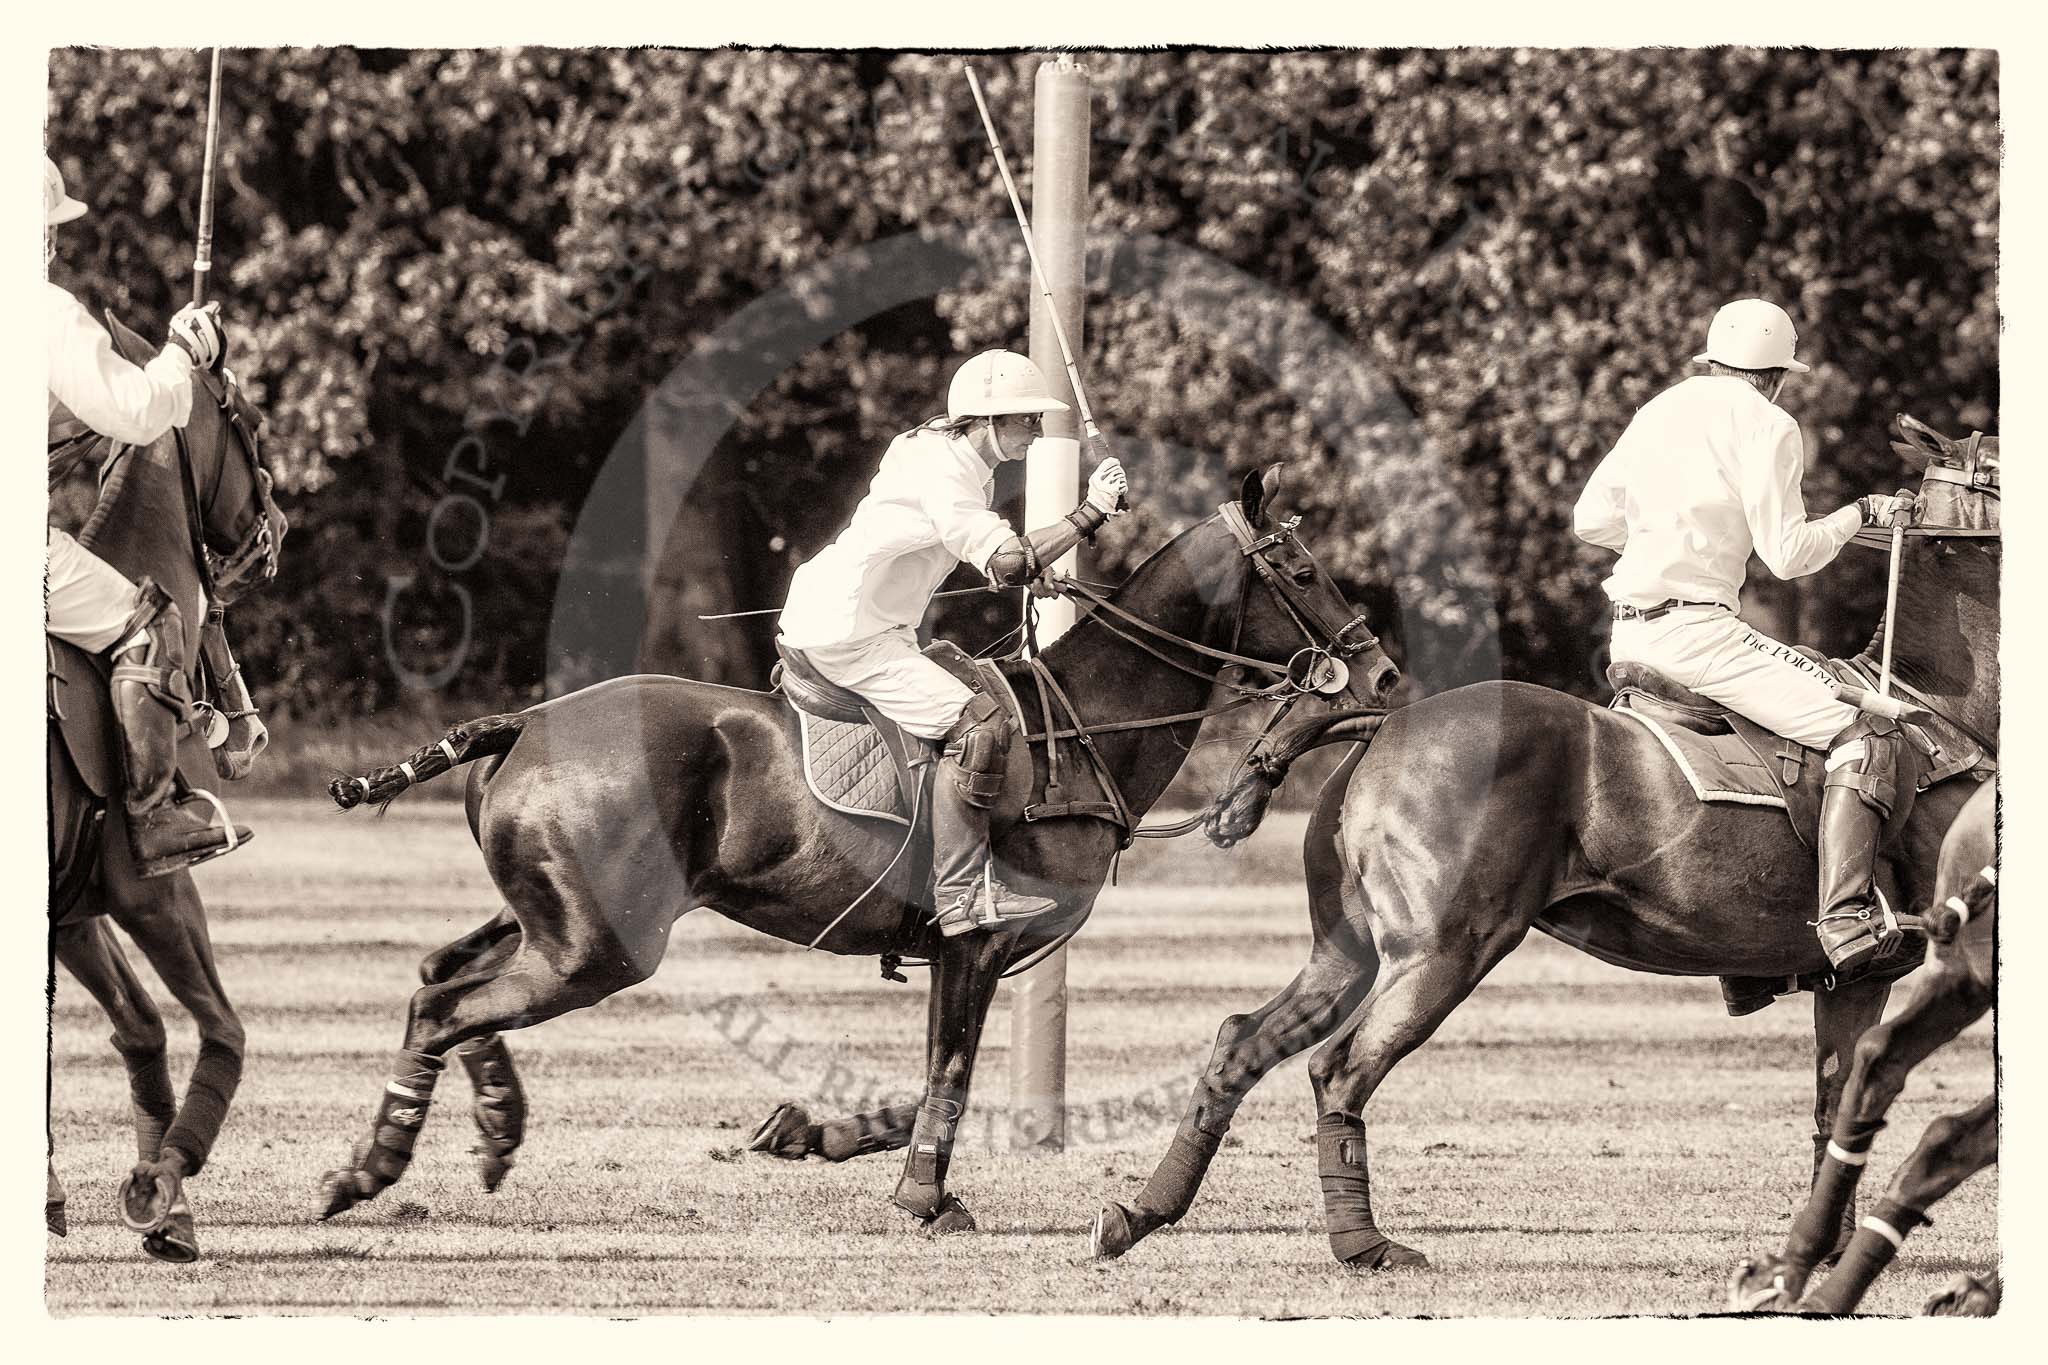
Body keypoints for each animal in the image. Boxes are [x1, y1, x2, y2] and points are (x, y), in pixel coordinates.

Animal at [319, 466, 1400, 1227]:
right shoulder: (977, 941)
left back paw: (486, 1128)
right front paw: (922, 1197)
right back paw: (372, 1169)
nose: (1384, 670)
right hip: (602, 944)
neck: (1084, 723)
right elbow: (951, 1072)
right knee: (450, 1002)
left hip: (551, 914)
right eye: (1302, 569)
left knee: (440, 976)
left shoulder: (958, 955)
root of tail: (519, 724)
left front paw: (808, 1133)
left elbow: (926, 1076)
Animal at [1097, 429, 1990, 1268]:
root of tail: (1383, 723)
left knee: (1240, 1040)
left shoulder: (1852, 978)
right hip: (1447, 948)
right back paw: (1364, 1243)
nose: (1374, 668)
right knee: (1341, 1067)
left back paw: (1141, 1212)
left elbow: (1839, 1101)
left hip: (1347, 946)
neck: (1950, 711)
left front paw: (1819, 1246)